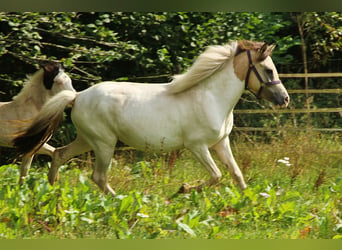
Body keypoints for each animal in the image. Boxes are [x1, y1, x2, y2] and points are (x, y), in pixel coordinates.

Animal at [15, 40, 288, 195]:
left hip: (87, 140)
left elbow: (237, 175)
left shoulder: (221, 143)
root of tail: (77, 96)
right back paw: (119, 201)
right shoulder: (197, 146)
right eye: (268, 70)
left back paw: (52, 194)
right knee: (98, 177)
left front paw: (249, 205)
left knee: (59, 155)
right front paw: (181, 190)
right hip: (104, 143)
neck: (210, 97)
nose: (284, 99)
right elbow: (216, 176)